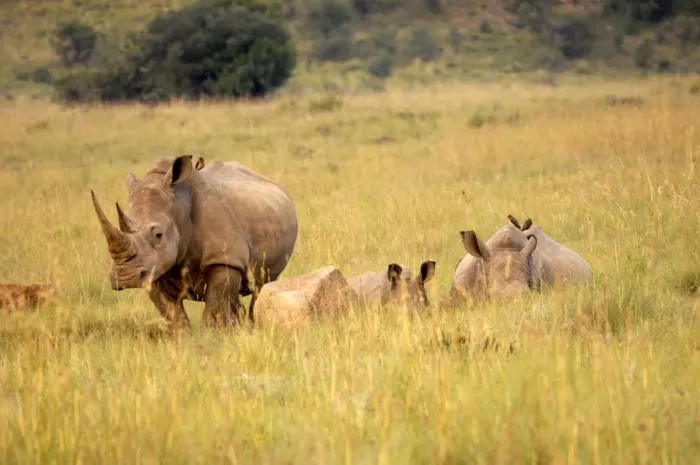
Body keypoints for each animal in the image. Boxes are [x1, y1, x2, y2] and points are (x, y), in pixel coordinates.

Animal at [90, 154, 299, 329]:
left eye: (158, 235)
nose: (125, 278)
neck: (179, 207)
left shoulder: (224, 259)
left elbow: (213, 310)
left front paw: (211, 338)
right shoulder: (153, 267)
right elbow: (173, 314)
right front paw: (183, 339)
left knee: (262, 285)